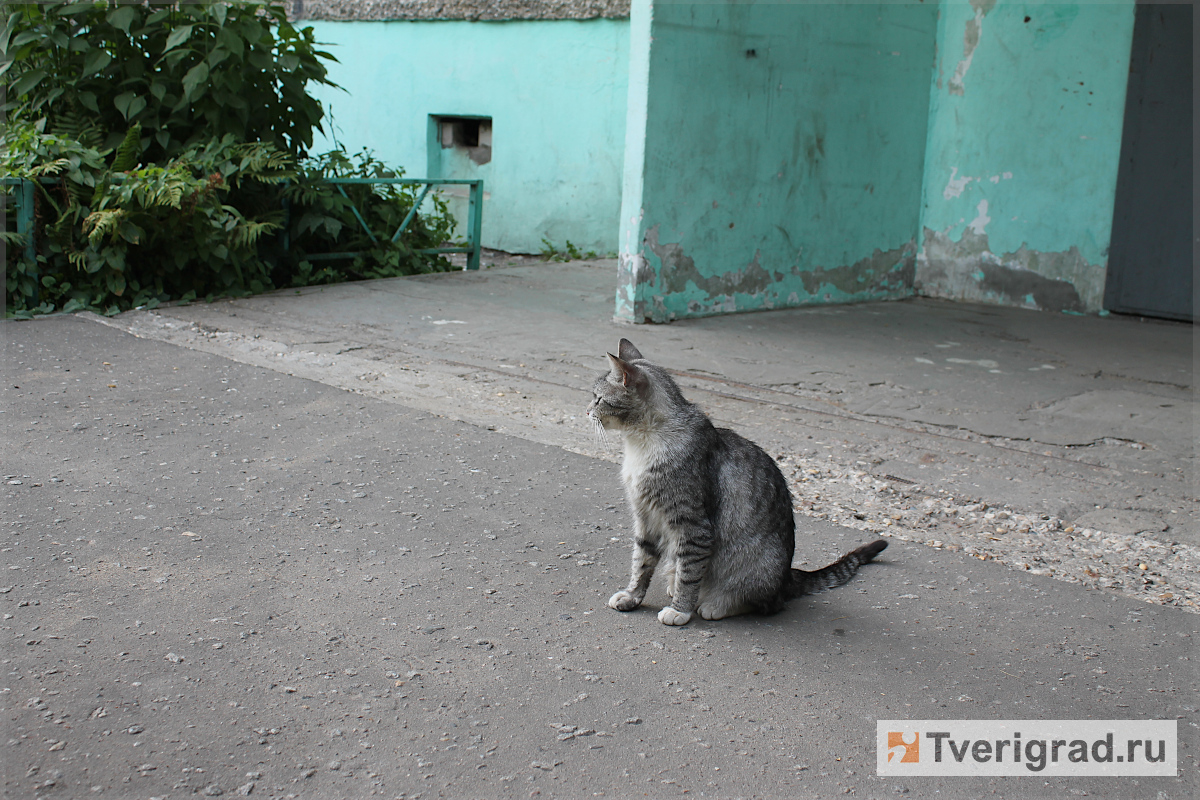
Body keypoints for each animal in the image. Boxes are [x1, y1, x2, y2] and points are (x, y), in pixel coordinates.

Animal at [585, 338, 888, 623]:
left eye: (597, 399)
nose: (586, 411)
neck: (641, 444)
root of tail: (787, 576)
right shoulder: (645, 517)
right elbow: (641, 563)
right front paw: (632, 596)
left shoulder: (693, 526)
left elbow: (689, 573)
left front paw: (680, 610)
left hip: (757, 565)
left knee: (765, 604)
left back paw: (716, 604)